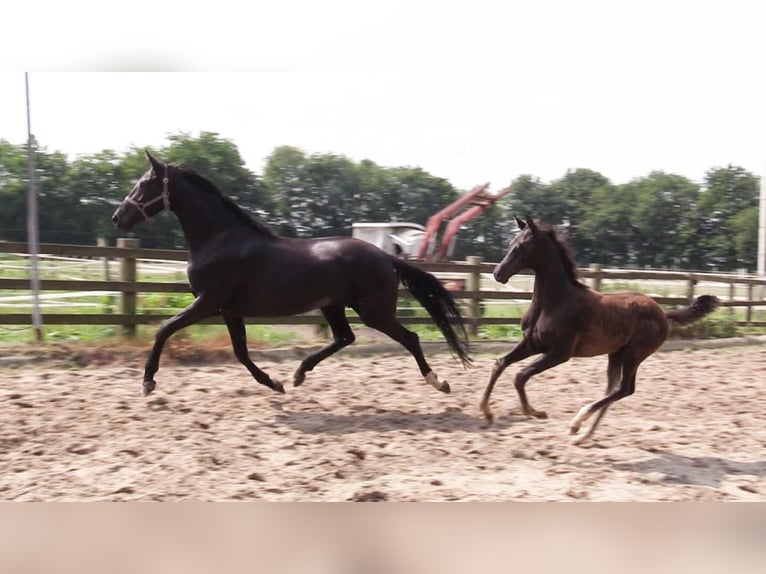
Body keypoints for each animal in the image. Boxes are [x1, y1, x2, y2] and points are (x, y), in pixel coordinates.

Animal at [111, 152, 472, 400]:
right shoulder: (229, 310)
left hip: (374, 311)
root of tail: (385, 255)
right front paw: (275, 383)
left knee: (409, 338)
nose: (118, 217)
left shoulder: (208, 303)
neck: (220, 239)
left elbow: (164, 329)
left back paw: (439, 382)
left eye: (144, 184)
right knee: (345, 338)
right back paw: (299, 374)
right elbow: (240, 353)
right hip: (333, 306)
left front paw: (148, 382)